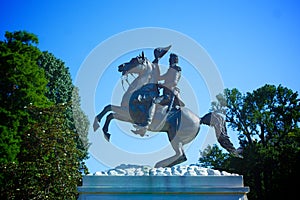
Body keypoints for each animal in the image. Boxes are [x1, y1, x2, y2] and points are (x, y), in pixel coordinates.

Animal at [94, 51, 239, 167]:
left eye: (135, 60)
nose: (120, 66)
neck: (140, 91)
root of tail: (199, 119)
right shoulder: (125, 113)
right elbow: (108, 110)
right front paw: (101, 128)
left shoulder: (128, 114)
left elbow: (109, 112)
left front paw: (102, 129)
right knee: (181, 156)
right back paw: (161, 165)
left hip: (174, 135)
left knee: (181, 155)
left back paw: (159, 164)